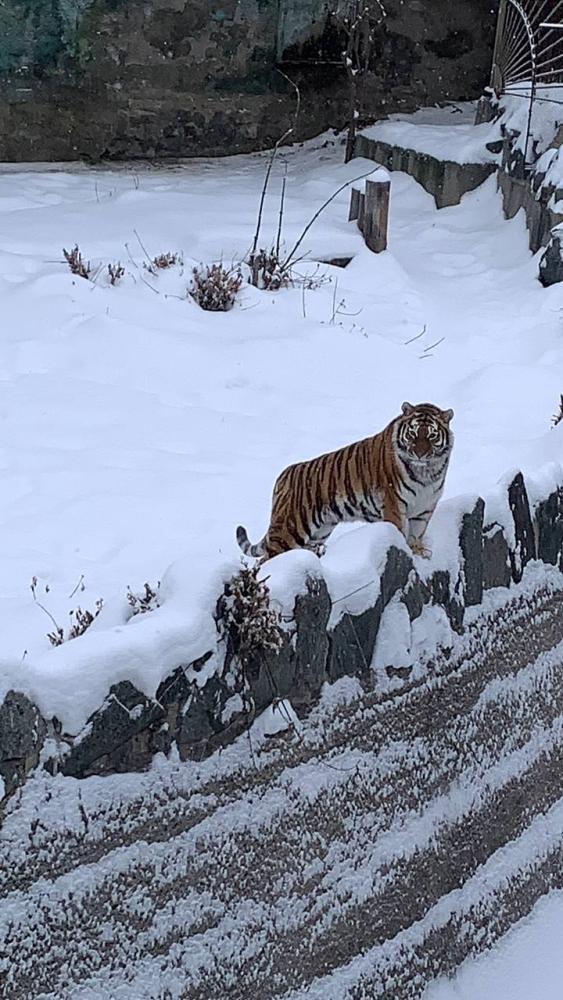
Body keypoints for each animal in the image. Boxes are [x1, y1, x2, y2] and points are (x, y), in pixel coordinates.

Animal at [237, 406, 454, 564]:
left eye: (432, 435)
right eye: (412, 433)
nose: (420, 454)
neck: (426, 472)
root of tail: (283, 476)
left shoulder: (424, 509)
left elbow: (416, 535)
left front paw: (419, 555)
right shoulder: (394, 504)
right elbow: (399, 531)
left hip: (318, 532)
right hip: (289, 530)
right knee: (264, 561)